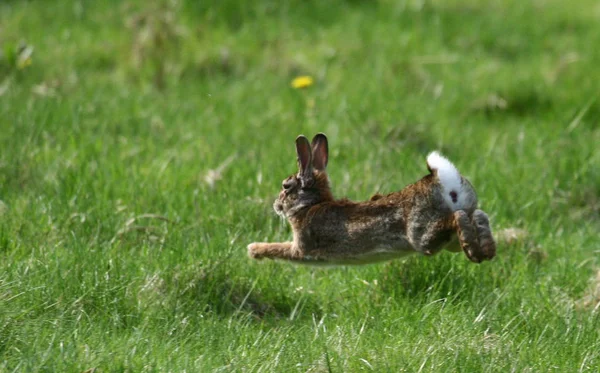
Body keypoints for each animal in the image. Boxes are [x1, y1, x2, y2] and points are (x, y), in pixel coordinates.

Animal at [246, 132, 494, 264]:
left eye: (286, 186)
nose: (276, 205)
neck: (310, 204)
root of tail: (441, 180)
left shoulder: (302, 247)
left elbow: (280, 249)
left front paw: (254, 250)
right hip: (457, 228)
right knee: (478, 216)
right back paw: (485, 250)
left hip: (422, 235)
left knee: (456, 218)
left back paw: (475, 252)